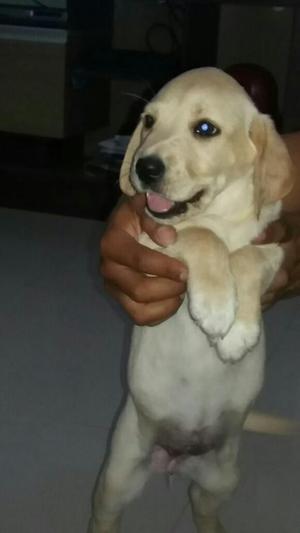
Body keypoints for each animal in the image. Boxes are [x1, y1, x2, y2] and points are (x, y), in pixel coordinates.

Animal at [88, 68, 292, 532]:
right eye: (148, 121)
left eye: (205, 129)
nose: (144, 167)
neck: (222, 217)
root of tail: (177, 462)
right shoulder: (149, 240)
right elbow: (200, 237)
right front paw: (217, 307)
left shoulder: (274, 248)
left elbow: (247, 257)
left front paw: (238, 331)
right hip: (117, 476)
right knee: (106, 514)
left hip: (220, 479)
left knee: (204, 509)